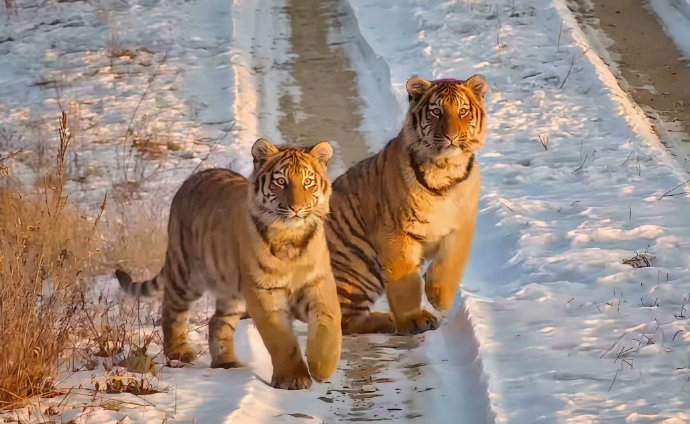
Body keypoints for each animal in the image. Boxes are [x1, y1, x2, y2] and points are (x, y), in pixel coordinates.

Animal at [115, 138, 341, 390]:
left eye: (308, 182)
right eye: (281, 182)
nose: (297, 208)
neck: (290, 237)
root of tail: (192, 179)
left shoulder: (318, 282)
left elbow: (329, 323)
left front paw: (322, 367)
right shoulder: (263, 291)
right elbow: (281, 338)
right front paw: (293, 377)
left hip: (232, 292)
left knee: (217, 321)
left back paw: (226, 362)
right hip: (186, 274)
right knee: (172, 309)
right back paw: (179, 351)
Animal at [327, 75, 487, 335]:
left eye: (463, 111)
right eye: (436, 112)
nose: (452, 136)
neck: (445, 169)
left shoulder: (461, 225)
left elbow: (450, 264)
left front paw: (439, 297)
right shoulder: (396, 232)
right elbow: (406, 283)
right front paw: (413, 319)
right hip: (359, 266)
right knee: (344, 320)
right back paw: (388, 320)